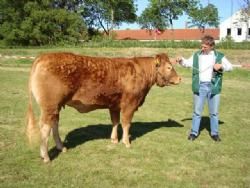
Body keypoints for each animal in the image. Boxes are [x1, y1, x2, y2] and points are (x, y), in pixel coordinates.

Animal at [26, 52, 181, 162]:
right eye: (169, 67)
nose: (180, 78)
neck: (140, 71)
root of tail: (42, 57)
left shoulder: (114, 105)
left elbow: (115, 122)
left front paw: (114, 140)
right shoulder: (129, 104)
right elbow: (126, 123)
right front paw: (126, 142)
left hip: (55, 107)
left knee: (54, 124)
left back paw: (61, 147)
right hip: (49, 106)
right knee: (45, 128)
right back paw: (46, 156)